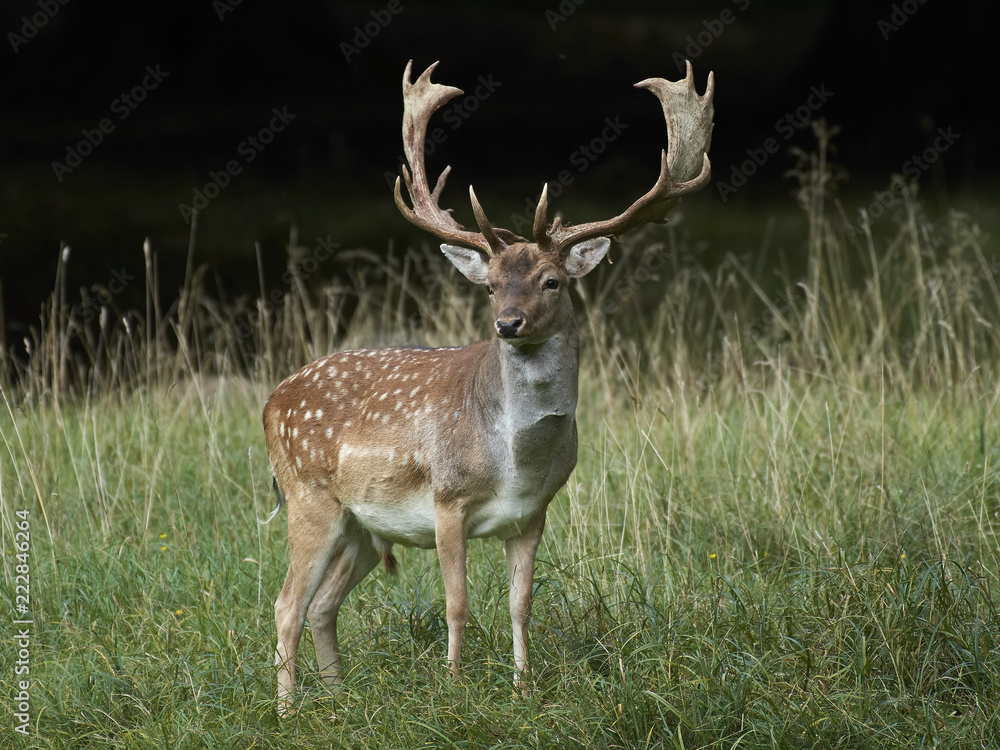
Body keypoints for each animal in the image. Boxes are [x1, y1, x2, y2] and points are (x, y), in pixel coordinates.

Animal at [262, 58, 716, 712]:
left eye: (552, 281)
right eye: (492, 285)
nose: (508, 324)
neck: (516, 460)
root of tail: (272, 400)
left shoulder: (533, 513)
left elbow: (520, 604)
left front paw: (524, 687)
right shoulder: (446, 499)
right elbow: (457, 604)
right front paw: (454, 690)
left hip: (362, 524)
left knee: (321, 605)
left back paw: (339, 700)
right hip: (308, 495)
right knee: (286, 604)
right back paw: (288, 710)